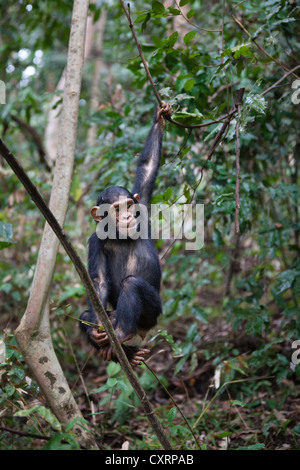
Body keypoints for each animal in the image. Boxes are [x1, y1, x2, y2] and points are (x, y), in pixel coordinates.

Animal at [79, 102, 171, 368]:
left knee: (132, 284)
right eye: (117, 209)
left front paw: (159, 118)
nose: (128, 216)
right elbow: (98, 281)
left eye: (129, 205)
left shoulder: (144, 205)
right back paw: (120, 350)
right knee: (86, 314)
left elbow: (148, 168)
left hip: (152, 314)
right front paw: (93, 332)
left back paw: (121, 335)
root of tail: (143, 333)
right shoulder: (94, 241)